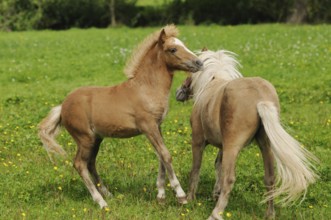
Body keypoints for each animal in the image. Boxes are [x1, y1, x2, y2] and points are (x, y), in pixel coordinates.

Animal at [40, 24, 204, 209]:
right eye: (173, 49)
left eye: (183, 44)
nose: (199, 63)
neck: (146, 88)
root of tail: (62, 107)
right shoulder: (148, 126)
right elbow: (165, 155)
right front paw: (180, 195)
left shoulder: (157, 126)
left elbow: (161, 157)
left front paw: (161, 196)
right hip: (84, 138)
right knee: (79, 164)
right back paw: (101, 202)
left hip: (96, 139)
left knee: (90, 163)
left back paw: (108, 194)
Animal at [176, 50, 320, 220]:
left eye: (189, 73)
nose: (179, 92)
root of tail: (260, 99)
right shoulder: (223, 146)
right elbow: (218, 165)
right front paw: (215, 193)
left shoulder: (198, 141)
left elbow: (196, 169)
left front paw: (190, 199)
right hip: (265, 146)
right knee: (269, 177)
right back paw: (269, 214)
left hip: (233, 147)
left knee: (229, 178)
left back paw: (215, 213)